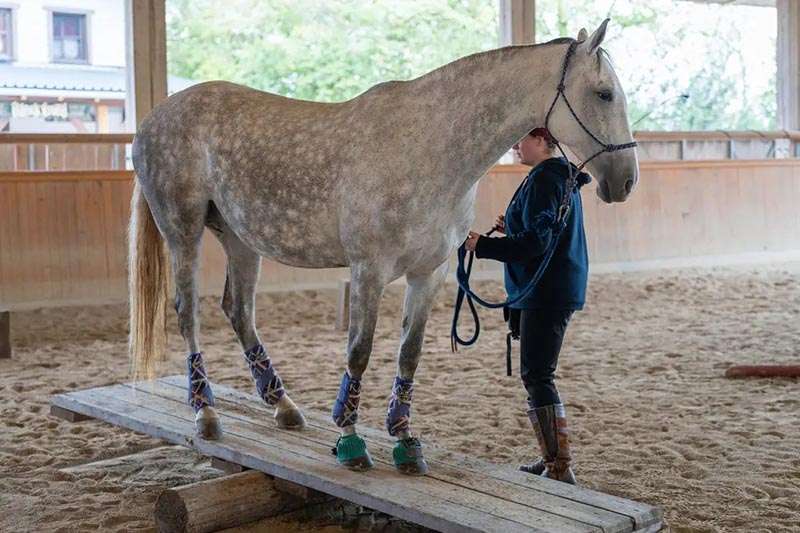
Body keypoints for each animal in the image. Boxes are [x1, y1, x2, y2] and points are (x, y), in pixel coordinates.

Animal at [130, 18, 636, 472]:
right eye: (604, 94)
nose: (626, 181)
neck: (429, 148)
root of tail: (151, 120)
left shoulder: (428, 273)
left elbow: (409, 352)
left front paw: (405, 440)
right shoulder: (368, 271)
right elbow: (360, 349)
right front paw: (350, 439)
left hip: (240, 238)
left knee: (238, 311)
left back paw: (283, 407)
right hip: (184, 232)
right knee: (187, 313)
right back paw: (206, 413)